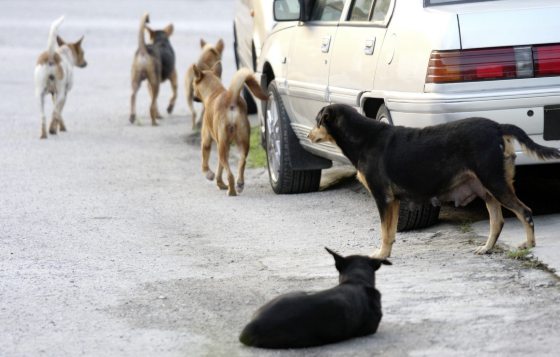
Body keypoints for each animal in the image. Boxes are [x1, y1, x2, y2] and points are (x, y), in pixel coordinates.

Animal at [192, 65, 270, 196]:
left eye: (193, 84)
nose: (193, 97)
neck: (214, 92)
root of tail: (231, 98)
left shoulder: (207, 140)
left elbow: (205, 163)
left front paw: (209, 175)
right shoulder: (226, 145)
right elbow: (220, 168)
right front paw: (220, 183)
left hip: (222, 147)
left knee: (230, 174)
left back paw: (232, 190)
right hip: (241, 144)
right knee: (242, 163)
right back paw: (239, 184)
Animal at [308, 101, 560, 258]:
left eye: (318, 121)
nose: (308, 135)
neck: (363, 137)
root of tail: (497, 127)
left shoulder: (383, 198)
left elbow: (384, 232)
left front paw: (381, 255)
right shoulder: (394, 201)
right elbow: (390, 233)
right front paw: (386, 253)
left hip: (494, 182)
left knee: (524, 212)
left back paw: (529, 244)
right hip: (486, 188)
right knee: (497, 222)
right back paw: (487, 248)